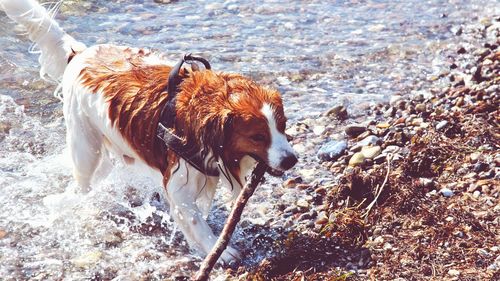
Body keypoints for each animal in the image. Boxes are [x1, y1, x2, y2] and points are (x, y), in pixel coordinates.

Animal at [0, 0, 296, 262]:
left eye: (282, 126)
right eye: (258, 136)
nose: (292, 160)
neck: (200, 119)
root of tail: (80, 53)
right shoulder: (179, 184)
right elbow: (195, 221)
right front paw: (218, 250)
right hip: (85, 146)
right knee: (82, 185)